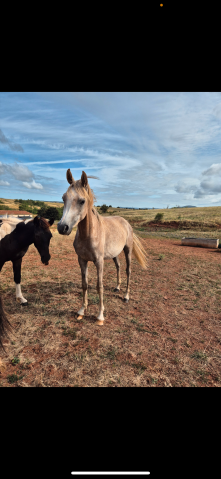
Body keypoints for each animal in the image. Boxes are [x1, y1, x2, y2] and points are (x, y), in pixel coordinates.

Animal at [0, 216, 53, 350]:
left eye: (50, 236)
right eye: (37, 235)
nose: (46, 259)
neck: (10, 236)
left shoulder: (17, 259)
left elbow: (17, 278)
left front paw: (21, 299)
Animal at [57, 169, 147, 326]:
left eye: (82, 201)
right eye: (63, 198)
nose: (62, 227)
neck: (89, 234)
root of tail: (126, 222)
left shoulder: (99, 262)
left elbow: (100, 286)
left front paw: (100, 316)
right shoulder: (82, 260)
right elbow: (85, 284)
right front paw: (82, 310)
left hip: (128, 250)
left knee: (128, 270)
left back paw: (126, 296)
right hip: (115, 254)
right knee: (118, 267)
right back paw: (117, 288)